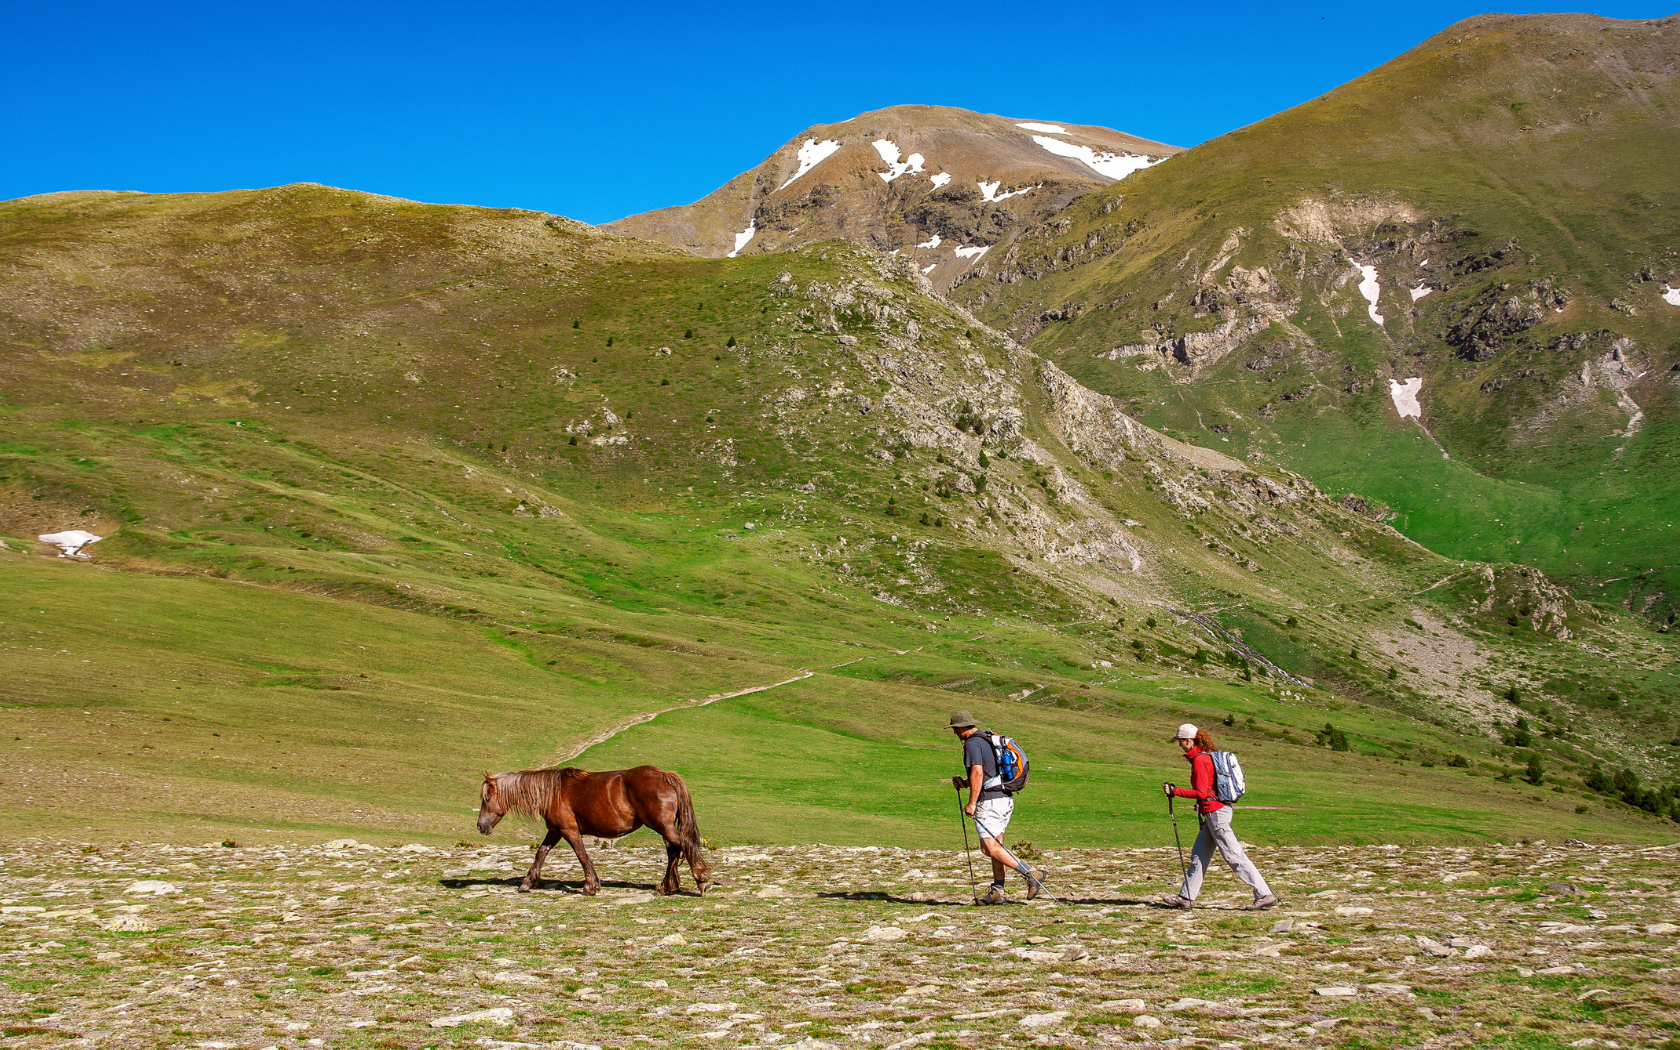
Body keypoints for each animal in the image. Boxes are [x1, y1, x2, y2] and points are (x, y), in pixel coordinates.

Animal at [480, 762, 708, 893]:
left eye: (487, 798)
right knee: (674, 850)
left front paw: (591, 886)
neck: (552, 792)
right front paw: (528, 882)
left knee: (684, 845)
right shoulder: (554, 831)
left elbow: (581, 855)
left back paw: (701, 880)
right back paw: (667, 887)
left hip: (662, 826)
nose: (481, 826)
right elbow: (541, 853)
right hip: (664, 828)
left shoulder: (568, 830)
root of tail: (664, 775)